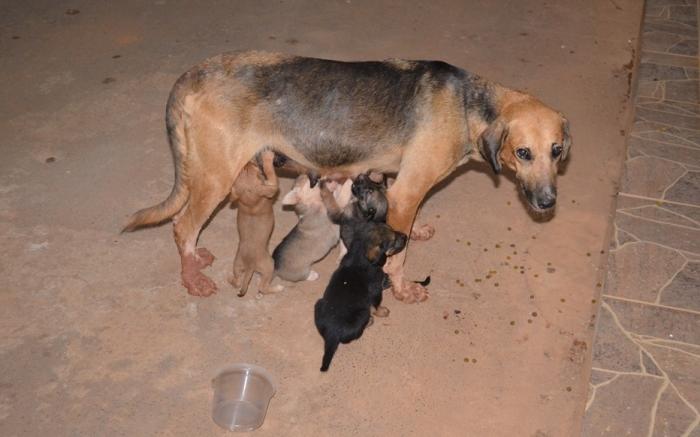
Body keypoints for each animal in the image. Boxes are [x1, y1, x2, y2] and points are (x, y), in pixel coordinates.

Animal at [123, 50, 572, 300]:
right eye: (523, 153)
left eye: (556, 151)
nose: (548, 203)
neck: (469, 104)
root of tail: (194, 73)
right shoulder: (408, 191)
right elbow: (399, 257)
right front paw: (403, 290)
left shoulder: (402, 187)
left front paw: (418, 231)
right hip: (215, 176)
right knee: (182, 225)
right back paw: (192, 277)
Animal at [314, 186, 404, 370]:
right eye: (393, 241)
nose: (406, 236)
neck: (359, 253)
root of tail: (332, 335)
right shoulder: (375, 291)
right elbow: (377, 304)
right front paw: (382, 312)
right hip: (362, 312)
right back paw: (369, 321)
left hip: (317, 305)